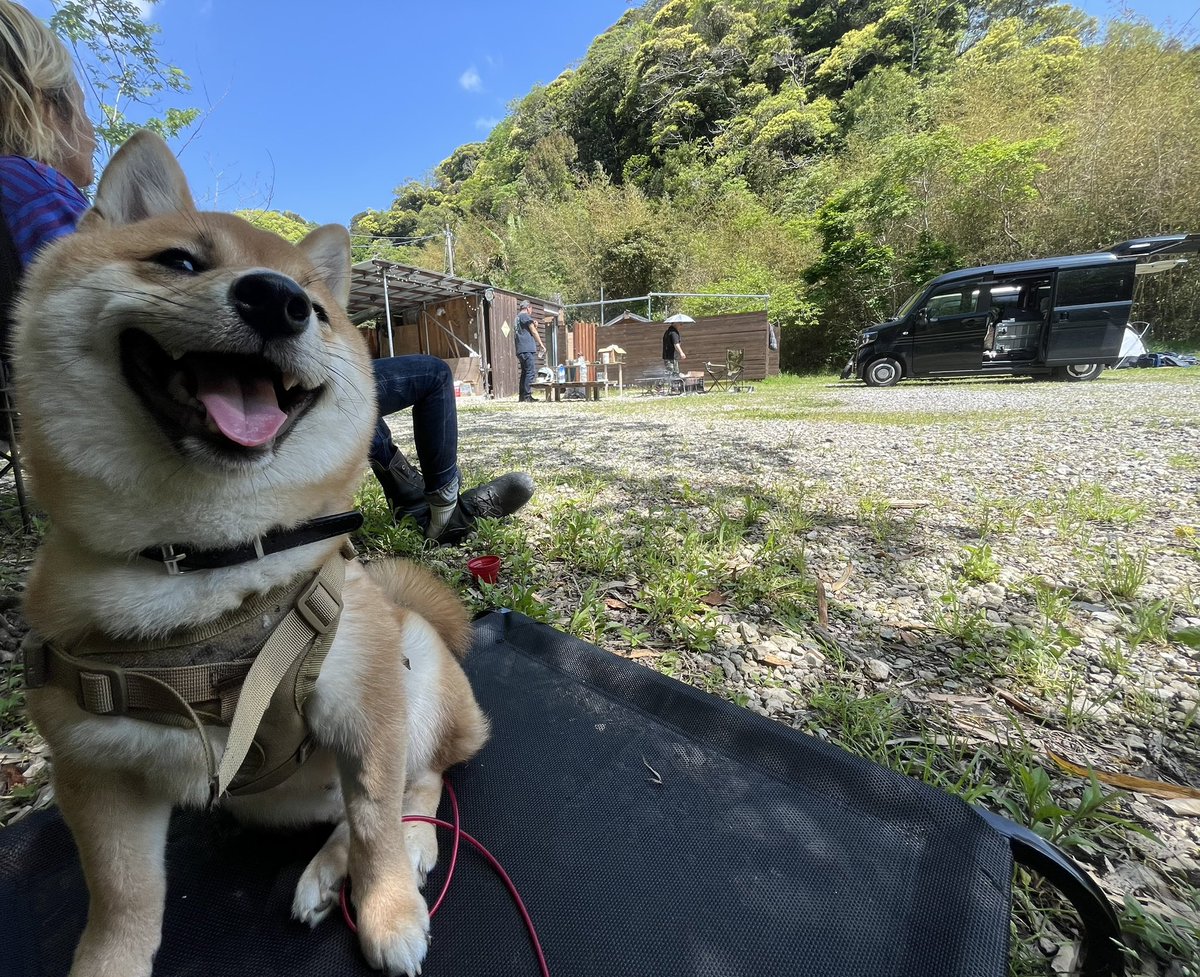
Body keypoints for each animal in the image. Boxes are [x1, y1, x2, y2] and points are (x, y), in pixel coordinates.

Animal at [9, 132, 487, 977]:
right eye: (179, 262)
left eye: (317, 308)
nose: (276, 299)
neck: (208, 560)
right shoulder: (97, 771)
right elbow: (122, 897)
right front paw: (109, 961)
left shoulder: (368, 703)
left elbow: (378, 817)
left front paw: (390, 907)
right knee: (355, 811)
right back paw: (329, 869)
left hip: (420, 672)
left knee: (418, 785)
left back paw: (405, 851)